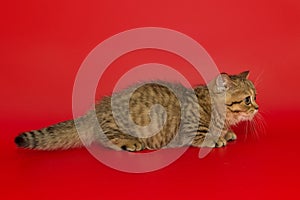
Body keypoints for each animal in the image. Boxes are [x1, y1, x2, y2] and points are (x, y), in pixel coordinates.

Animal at [13, 71, 258, 151]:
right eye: (247, 99)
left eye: (255, 96)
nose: (257, 107)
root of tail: (96, 110)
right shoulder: (188, 130)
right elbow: (203, 135)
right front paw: (217, 138)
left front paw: (226, 132)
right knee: (106, 138)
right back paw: (129, 143)